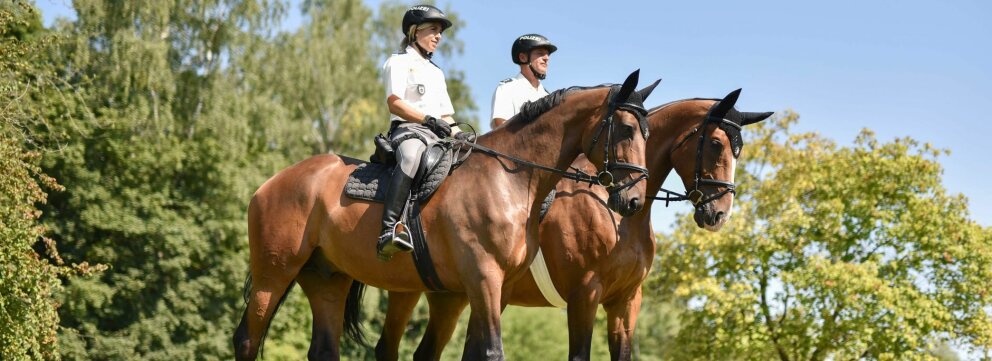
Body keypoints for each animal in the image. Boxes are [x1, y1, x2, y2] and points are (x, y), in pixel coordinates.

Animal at [233, 70, 664, 360]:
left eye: (648, 134)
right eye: (626, 130)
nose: (633, 201)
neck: (511, 177)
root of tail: (270, 183)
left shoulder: (499, 286)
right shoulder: (486, 278)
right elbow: (491, 352)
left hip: (328, 279)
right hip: (274, 273)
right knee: (247, 339)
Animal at [376, 88, 772, 358]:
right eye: (717, 145)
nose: (719, 214)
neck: (619, 216)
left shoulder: (626, 300)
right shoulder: (585, 293)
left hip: (448, 294)